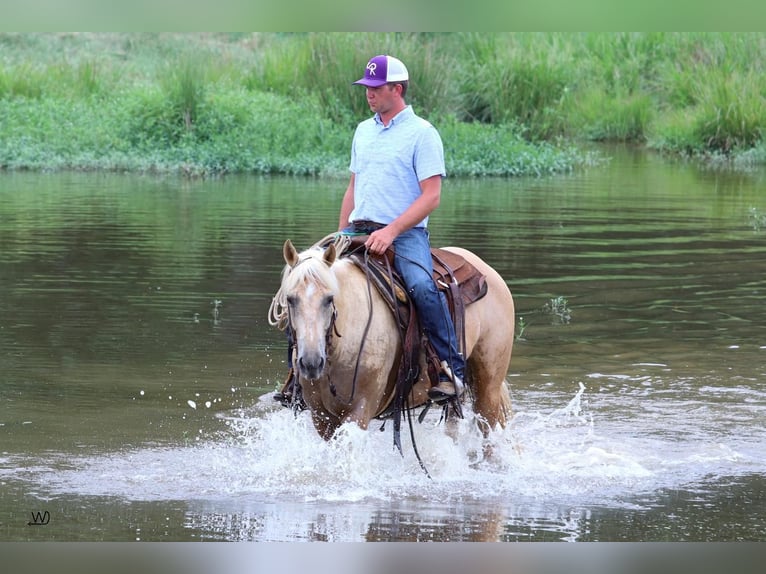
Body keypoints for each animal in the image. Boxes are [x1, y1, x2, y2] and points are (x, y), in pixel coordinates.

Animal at [270, 238, 516, 446]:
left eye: (329, 299)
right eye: (290, 299)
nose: (311, 363)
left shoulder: (359, 410)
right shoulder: (321, 417)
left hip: (488, 386)